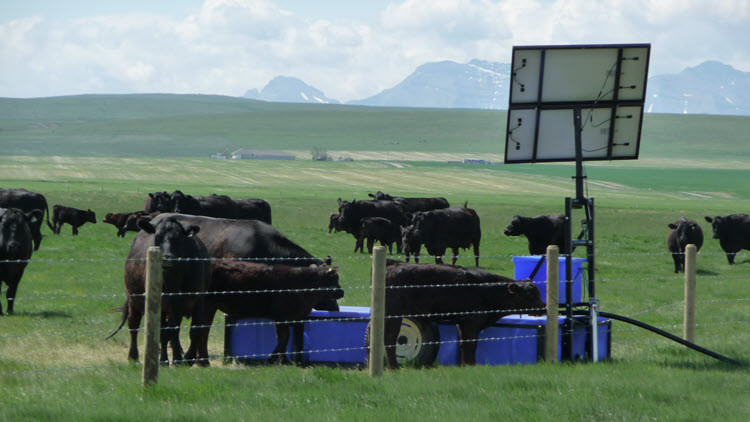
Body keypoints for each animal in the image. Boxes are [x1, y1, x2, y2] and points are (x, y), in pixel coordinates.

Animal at [109, 216, 211, 366]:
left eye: (179, 238)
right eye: (157, 237)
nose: (167, 257)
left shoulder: (198, 299)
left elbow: (195, 330)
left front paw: (188, 358)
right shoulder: (164, 303)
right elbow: (168, 332)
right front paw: (175, 360)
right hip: (135, 300)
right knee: (135, 325)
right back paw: (136, 356)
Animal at [184, 260, 344, 365]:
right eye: (334, 278)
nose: (341, 292)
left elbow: (284, 339)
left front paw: (283, 360)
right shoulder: (281, 317)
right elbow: (283, 338)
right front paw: (274, 359)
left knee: (203, 330)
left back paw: (201, 360)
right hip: (208, 305)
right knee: (202, 331)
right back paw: (203, 361)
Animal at [371, 261, 545, 369]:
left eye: (538, 293)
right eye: (529, 295)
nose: (544, 307)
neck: (487, 290)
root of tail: (393, 264)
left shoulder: (462, 323)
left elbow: (462, 344)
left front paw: (463, 366)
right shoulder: (472, 322)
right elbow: (471, 344)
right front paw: (472, 365)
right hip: (394, 315)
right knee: (390, 339)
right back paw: (393, 367)